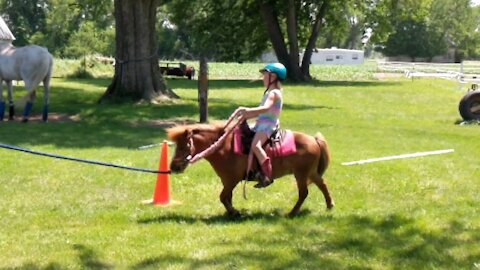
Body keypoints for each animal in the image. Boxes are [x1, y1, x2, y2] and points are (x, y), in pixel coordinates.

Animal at [167, 123, 336, 217]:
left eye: (183, 146)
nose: (173, 167)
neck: (224, 148)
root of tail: (314, 139)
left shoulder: (231, 180)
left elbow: (222, 197)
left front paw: (234, 212)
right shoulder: (227, 181)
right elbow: (227, 197)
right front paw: (231, 213)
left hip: (301, 174)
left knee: (304, 193)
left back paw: (292, 213)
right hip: (311, 173)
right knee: (323, 185)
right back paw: (329, 205)